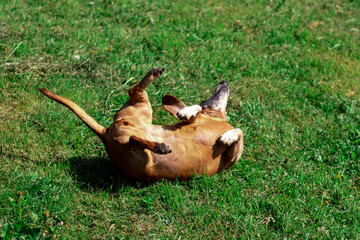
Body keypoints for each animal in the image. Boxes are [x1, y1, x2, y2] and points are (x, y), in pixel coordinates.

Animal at [39, 66, 243, 181]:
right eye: (206, 98)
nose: (223, 80)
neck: (215, 118)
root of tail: (105, 134)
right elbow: (232, 126)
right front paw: (187, 111)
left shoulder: (232, 157)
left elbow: (239, 131)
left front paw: (227, 136)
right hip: (142, 122)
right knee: (133, 93)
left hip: (141, 157)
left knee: (134, 138)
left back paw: (158, 145)